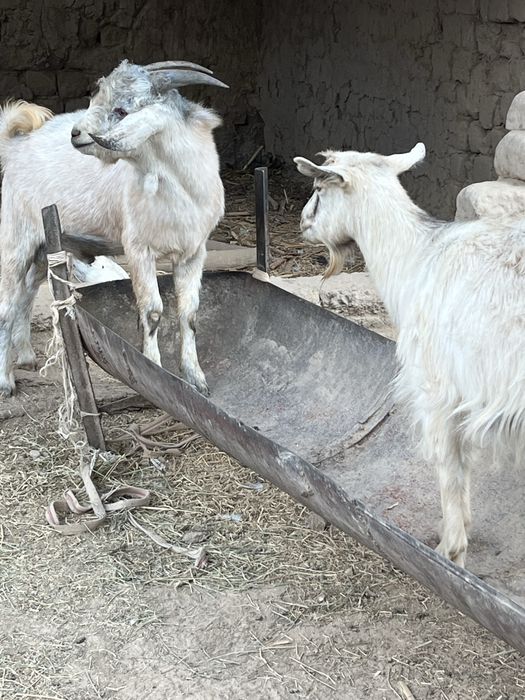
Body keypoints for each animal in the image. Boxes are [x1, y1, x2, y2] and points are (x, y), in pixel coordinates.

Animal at [0, 59, 227, 398]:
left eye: (122, 109)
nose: (76, 134)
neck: (177, 187)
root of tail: (16, 145)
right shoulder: (138, 248)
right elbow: (153, 311)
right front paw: (155, 372)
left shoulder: (193, 252)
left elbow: (189, 315)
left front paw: (196, 379)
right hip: (16, 238)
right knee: (6, 304)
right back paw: (5, 381)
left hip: (42, 249)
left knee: (24, 295)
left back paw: (26, 357)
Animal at [294, 142, 525, 567]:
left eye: (319, 189)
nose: (304, 222)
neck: (417, 258)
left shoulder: (436, 387)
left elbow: (449, 464)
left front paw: (451, 552)